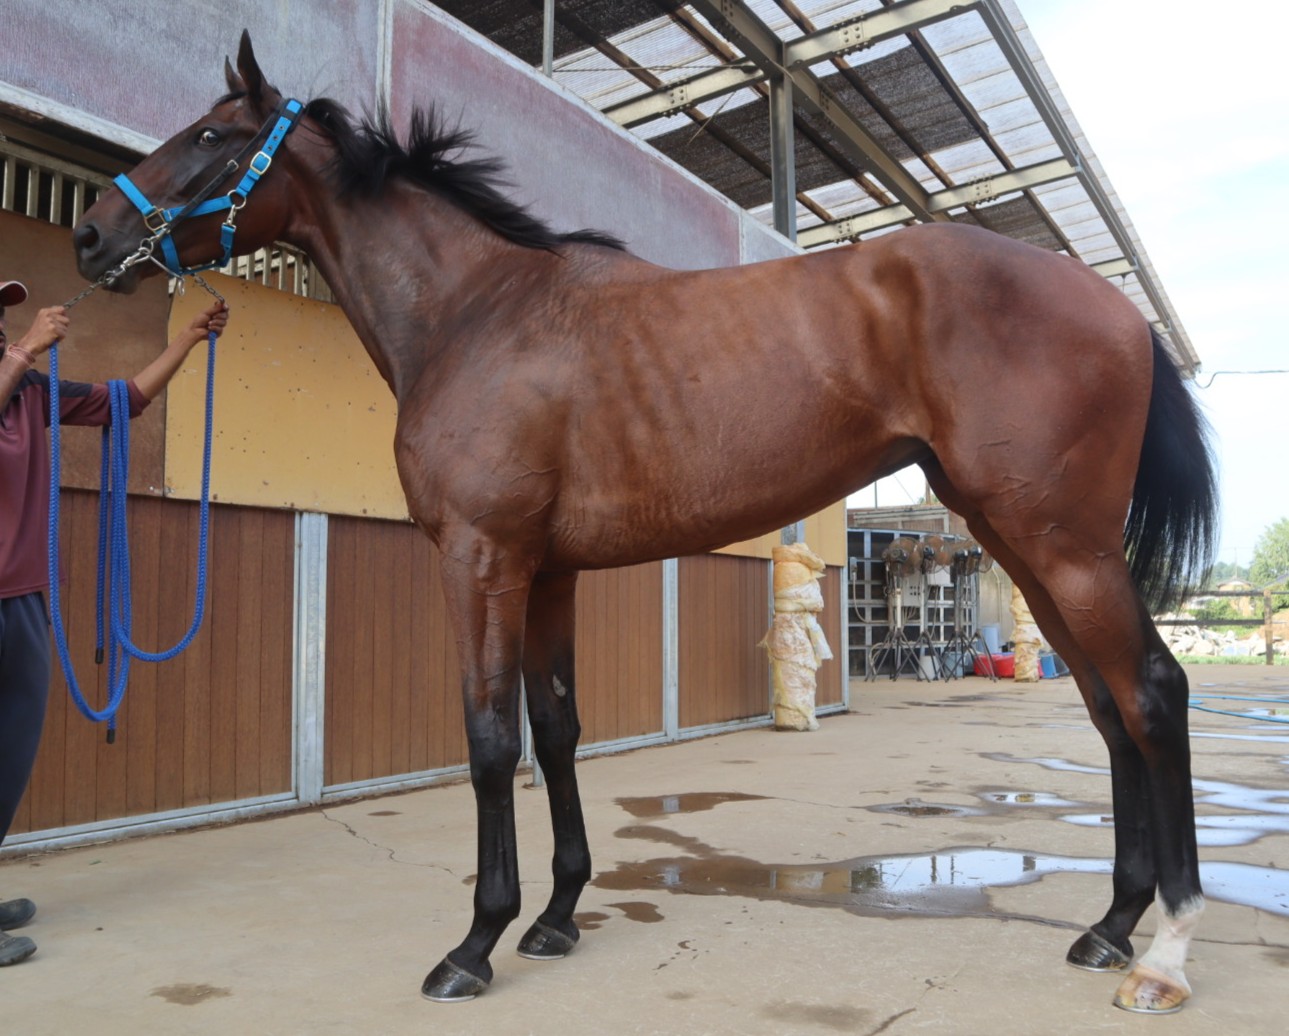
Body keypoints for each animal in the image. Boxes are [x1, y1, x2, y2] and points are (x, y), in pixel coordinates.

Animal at [72, 32, 1216, 1014]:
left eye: (211, 136)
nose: (89, 235)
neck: (478, 314)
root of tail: (1116, 311)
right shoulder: (544, 572)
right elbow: (556, 731)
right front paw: (556, 917)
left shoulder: (480, 559)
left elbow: (488, 738)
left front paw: (475, 944)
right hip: (1028, 549)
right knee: (1106, 707)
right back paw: (1108, 924)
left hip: (1065, 549)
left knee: (1152, 692)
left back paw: (1161, 953)